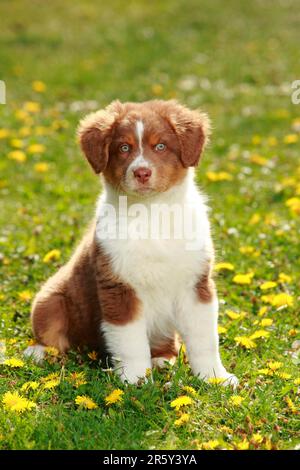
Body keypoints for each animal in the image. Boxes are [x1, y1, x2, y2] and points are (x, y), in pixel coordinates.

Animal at [24, 98, 238, 386]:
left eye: (161, 146)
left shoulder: (196, 284)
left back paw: (162, 360)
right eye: (123, 148)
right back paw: (38, 353)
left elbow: (205, 339)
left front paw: (215, 378)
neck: (151, 212)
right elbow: (131, 342)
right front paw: (136, 381)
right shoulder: (119, 287)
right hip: (50, 301)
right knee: (51, 334)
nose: (142, 172)